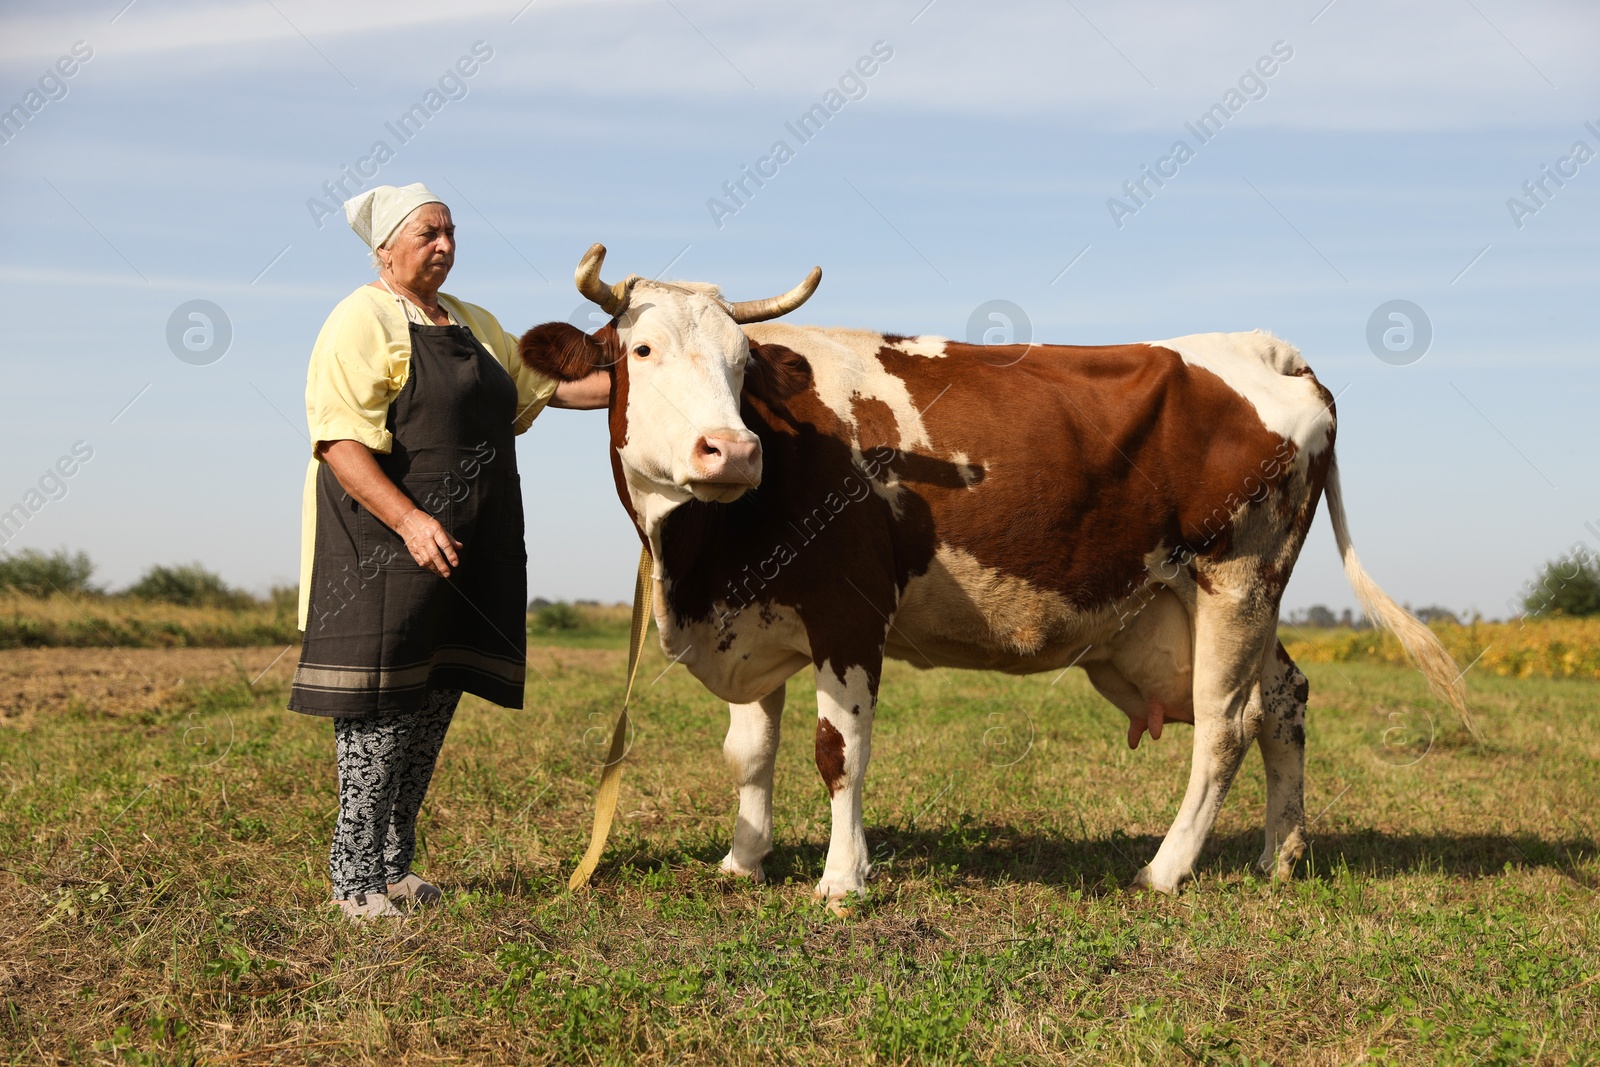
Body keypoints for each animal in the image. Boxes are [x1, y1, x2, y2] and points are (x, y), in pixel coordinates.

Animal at [524, 244, 1472, 908]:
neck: (704, 557)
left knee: (1226, 724)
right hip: (1221, 601)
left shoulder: (847, 613)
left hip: (1239, 577)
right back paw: (1280, 855)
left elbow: (839, 751)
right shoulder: (752, 618)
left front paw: (841, 880)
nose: (733, 449)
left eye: (742, 366)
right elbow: (749, 751)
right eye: (641, 349)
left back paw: (1165, 869)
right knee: (1284, 700)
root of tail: (1266, 351)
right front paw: (742, 860)